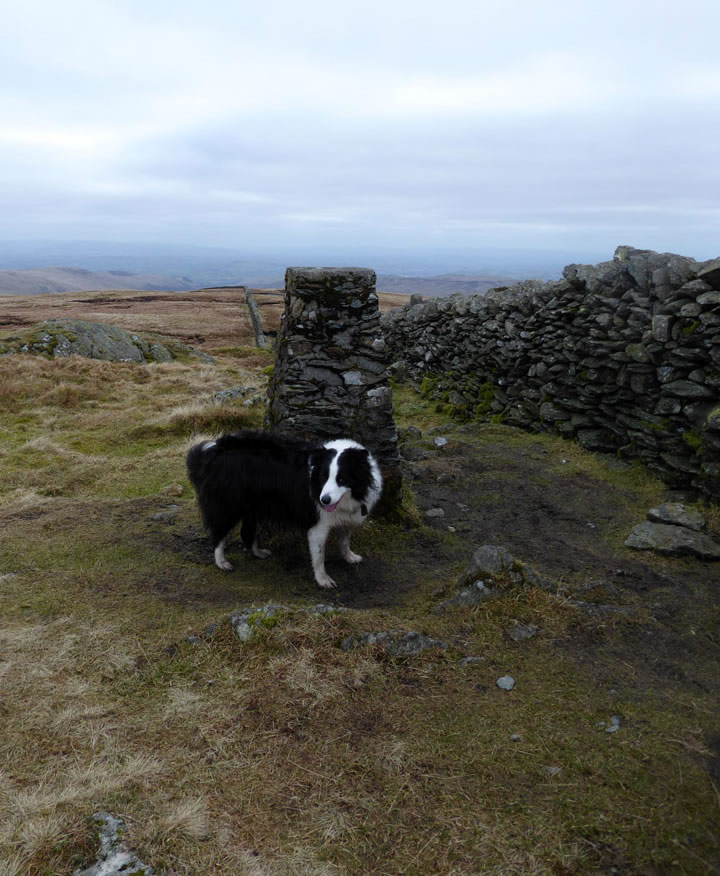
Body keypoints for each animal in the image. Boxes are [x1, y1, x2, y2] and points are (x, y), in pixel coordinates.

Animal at [188, 432, 386, 588]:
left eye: (342, 479)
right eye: (323, 478)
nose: (324, 500)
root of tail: (213, 451)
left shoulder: (347, 516)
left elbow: (344, 540)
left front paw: (350, 557)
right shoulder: (318, 523)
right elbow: (319, 555)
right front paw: (323, 580)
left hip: (254, 505)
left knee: (247, 531)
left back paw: (258, 552)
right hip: (229, 503)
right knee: (219, 531)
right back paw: (221, 562)